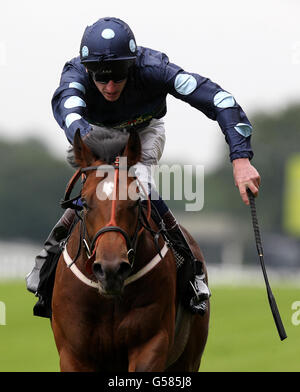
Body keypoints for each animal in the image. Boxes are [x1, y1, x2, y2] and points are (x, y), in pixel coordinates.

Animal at [50, 128, 210, 370]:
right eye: (84, 203)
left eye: (136, 201)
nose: (111, 270)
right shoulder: (73, 353)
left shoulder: (151, 341)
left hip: (188, 358)